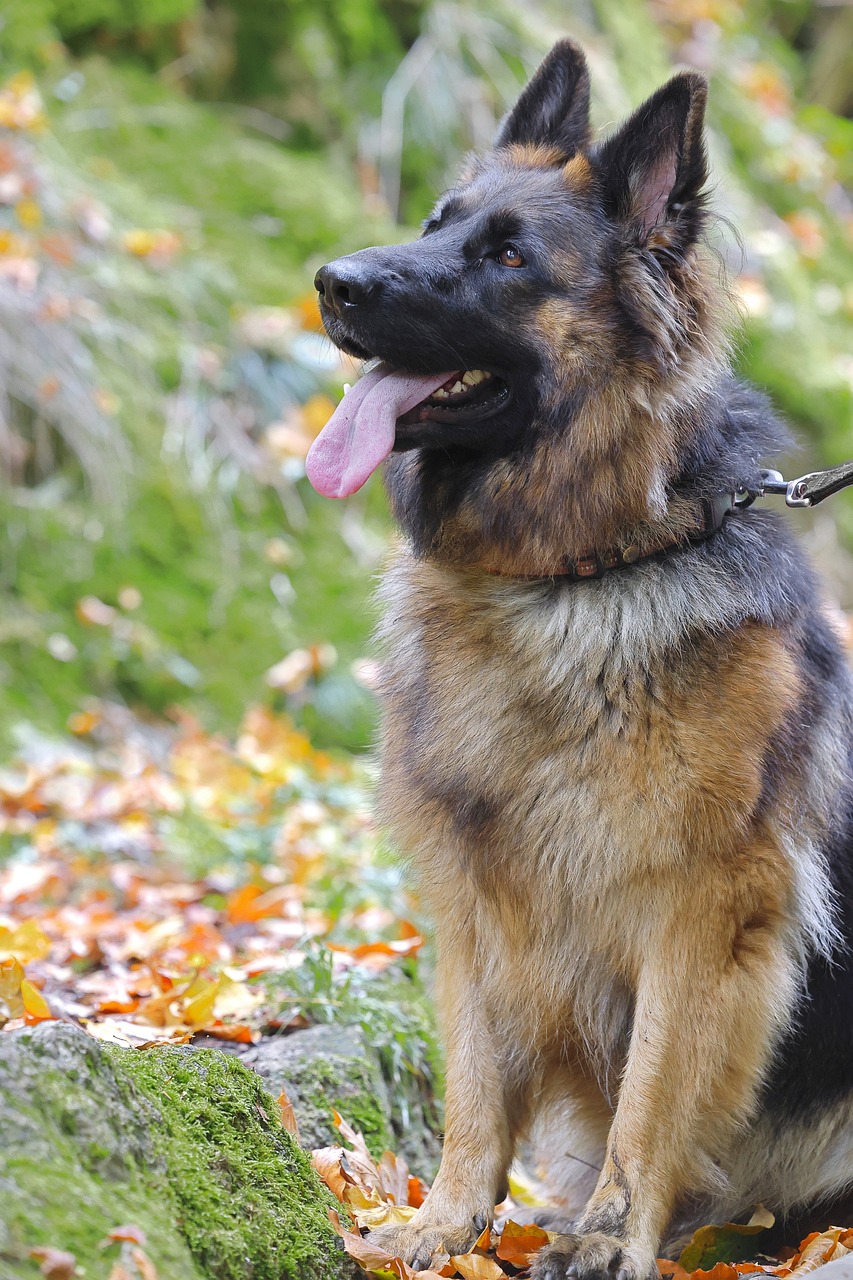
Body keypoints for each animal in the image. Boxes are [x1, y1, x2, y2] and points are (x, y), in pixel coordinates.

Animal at [306, 40, 850, 1280]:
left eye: (508, 257)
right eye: (435, 220)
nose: (331, 281)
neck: (567, 576)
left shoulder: (704, 916)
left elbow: (651, 1095)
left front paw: (608, 1237)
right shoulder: (476, 905)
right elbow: (472, 1091)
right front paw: (445, 1226)